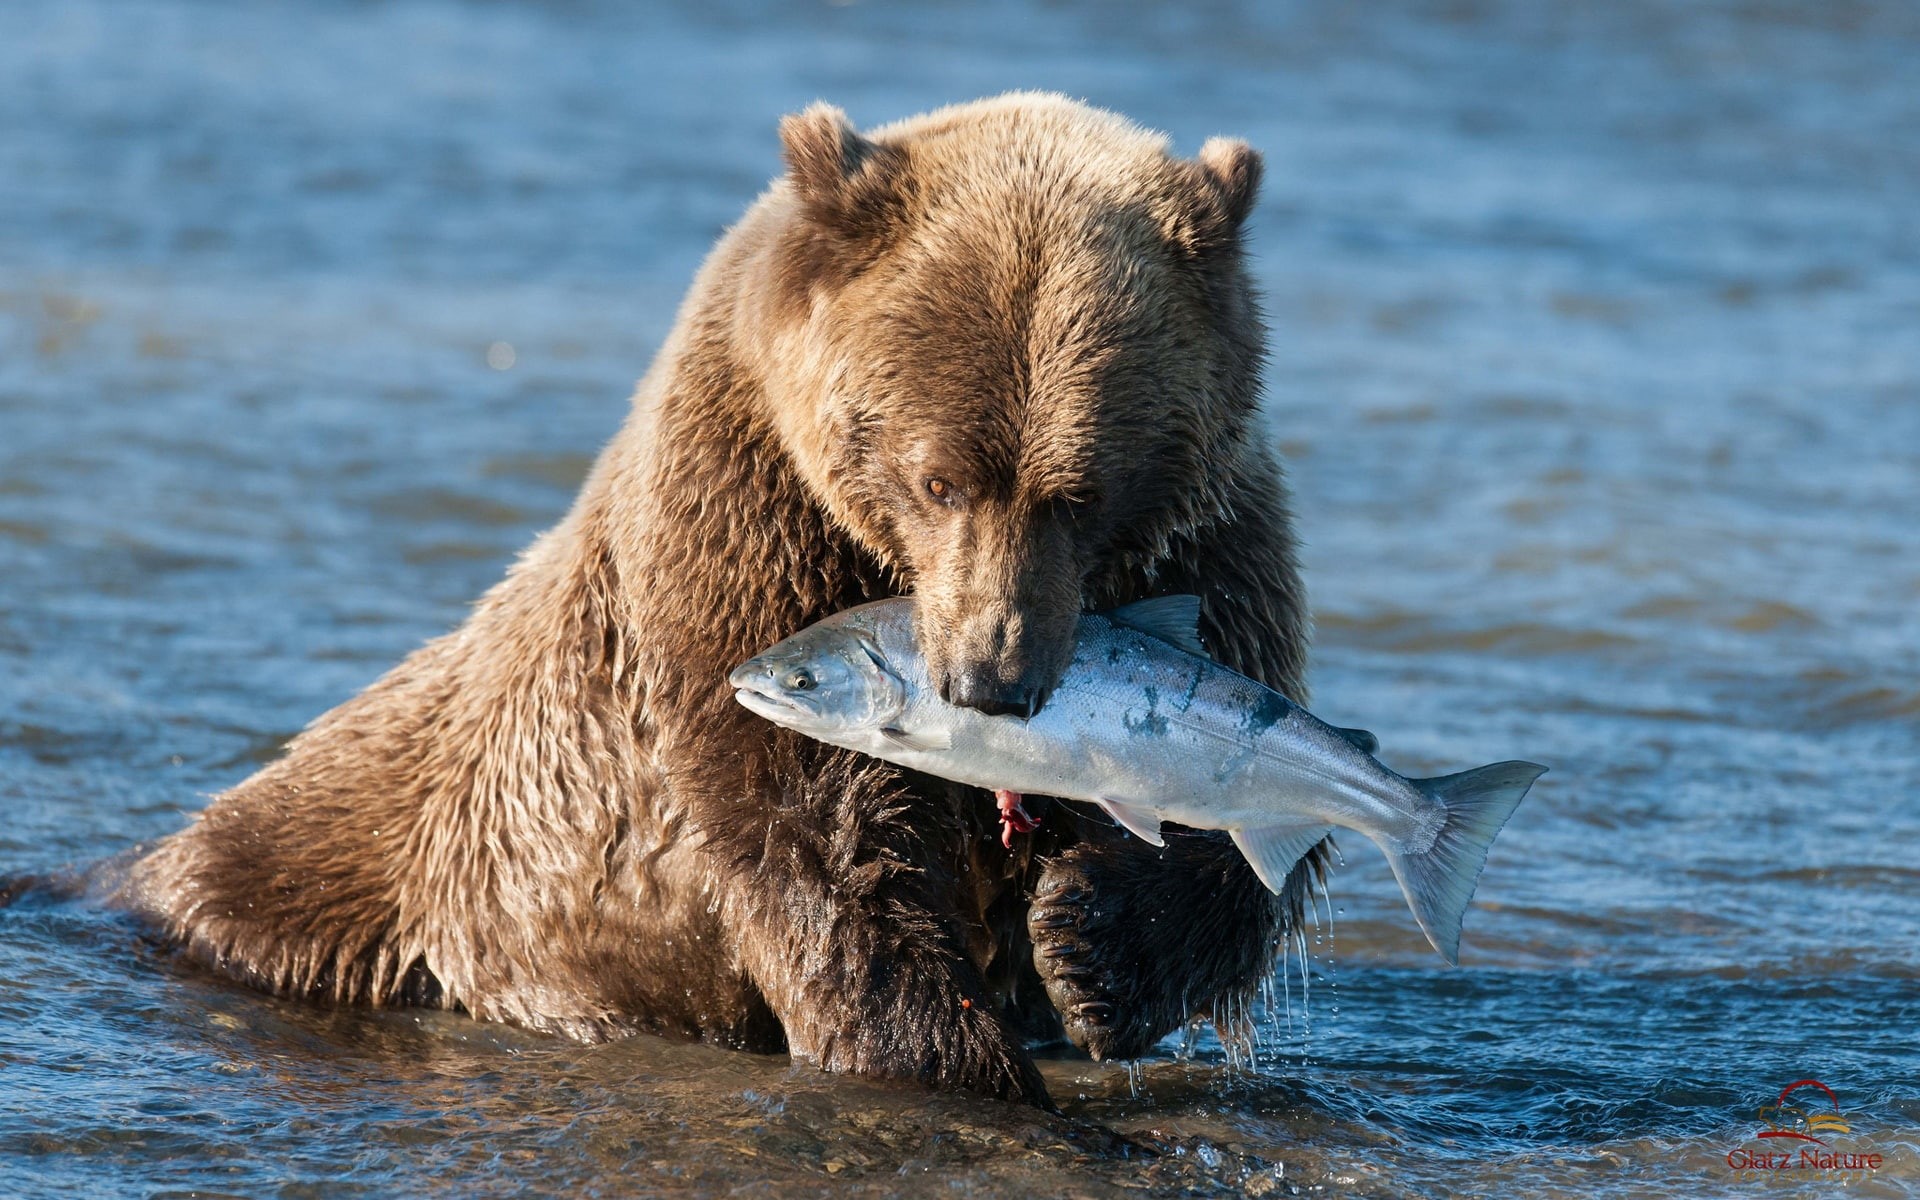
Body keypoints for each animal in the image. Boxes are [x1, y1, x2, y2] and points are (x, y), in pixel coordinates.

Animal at [118, 93, 1320, 1108]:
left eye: (1083, 492)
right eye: (939, 478)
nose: (993, 679)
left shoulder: (1210, 548)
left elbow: (1248, 808)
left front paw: (1089, 943)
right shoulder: (747, 527)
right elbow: (815, 828)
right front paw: (948, 1055)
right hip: (373, 855)